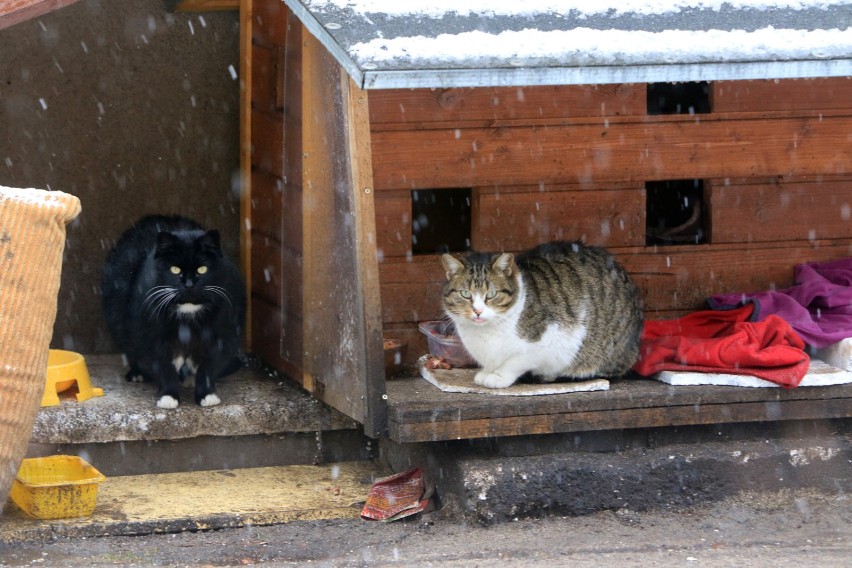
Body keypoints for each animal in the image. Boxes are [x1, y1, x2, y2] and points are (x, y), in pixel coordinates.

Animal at [102, 214, 246, 408]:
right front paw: (168, 396)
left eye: (202, 269)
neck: (188, 309)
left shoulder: (221, 333)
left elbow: (209, 366)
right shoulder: (151, 335)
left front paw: (207, 395)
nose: (189, 284)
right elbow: (163, 366)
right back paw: (138, 373)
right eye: (175, 269)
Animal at [442, 242, 644, 388]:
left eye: (491, 294)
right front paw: (486, 372)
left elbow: (515, 362)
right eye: (465, 294)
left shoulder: (550, 343)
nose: (477, 311)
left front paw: (498, 376)